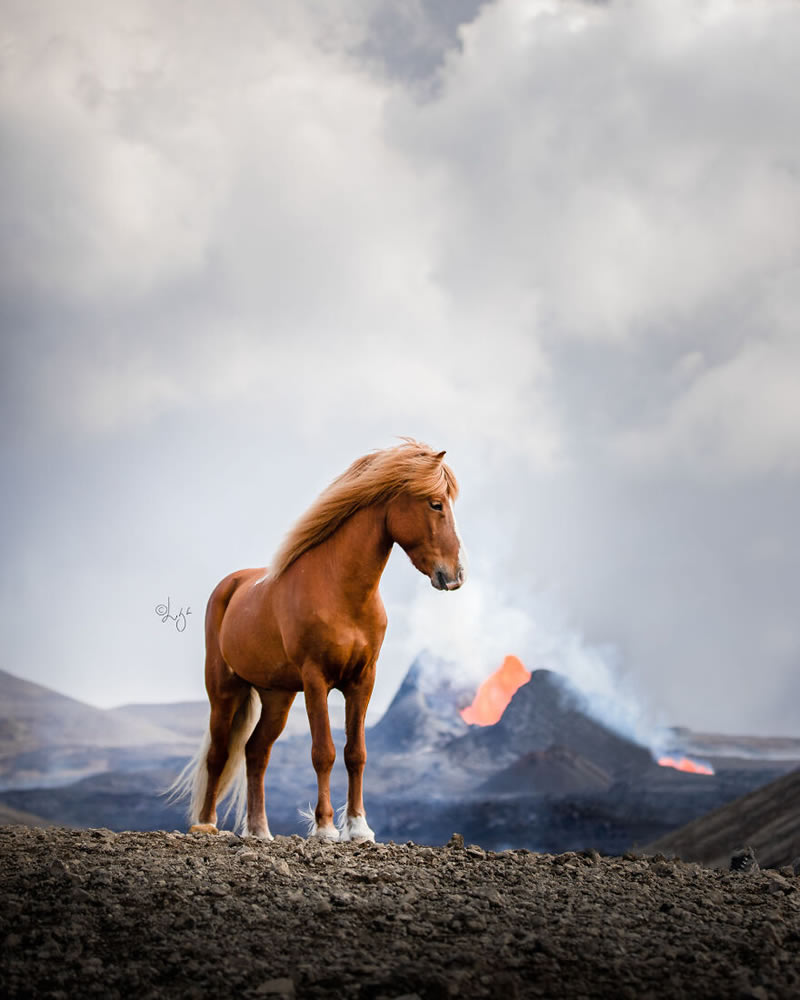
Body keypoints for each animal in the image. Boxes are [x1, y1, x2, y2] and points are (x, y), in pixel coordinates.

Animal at [172, 442, 466, 840]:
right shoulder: (316, 680)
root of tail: (230, 586)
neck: (341, 592)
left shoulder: (362, 680)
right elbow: (323, 751)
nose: (455, 575)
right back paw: (205, 824)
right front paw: (325, 828)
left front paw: (359, 828)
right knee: (218, 753)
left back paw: (259, 830)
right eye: (436, 503)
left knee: (255, 752)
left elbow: (356, 753)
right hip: (224, 690)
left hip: (277, 696)